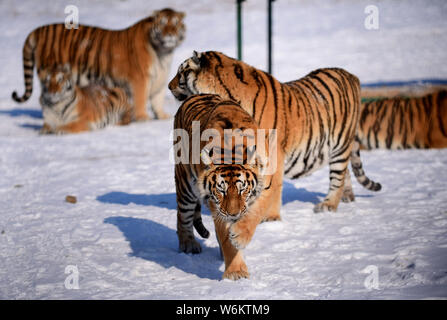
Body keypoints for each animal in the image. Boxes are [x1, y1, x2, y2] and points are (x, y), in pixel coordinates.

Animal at [11, 9, 186, 121]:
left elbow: (157, 99)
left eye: (175, 24)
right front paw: (143, 118)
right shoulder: (140, 78)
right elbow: (141, 98)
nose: (170, 34)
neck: (164, 53)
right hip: (50, 76)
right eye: (163, 24)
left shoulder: (160, 78)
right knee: (44, 98)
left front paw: (161, 116)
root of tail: (37, 30)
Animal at [169, 52, 382, 219]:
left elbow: (270, 190)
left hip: (341, 143)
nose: (169, 87)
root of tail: (351, 76)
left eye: (181, 72)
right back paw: (348, 197)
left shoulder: (272, 156)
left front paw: (269, 219)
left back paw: (328, 205)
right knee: (345, 172)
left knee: (338, 176)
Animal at [174, 94, 272, 278]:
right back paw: (189, 245)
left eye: (242, 189)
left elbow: (255, 213)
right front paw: (236, 272)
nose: (234, 215)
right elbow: (226, 238)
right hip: (185, 185)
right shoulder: (216, 205)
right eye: (221, 190)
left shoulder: (266, 187)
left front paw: (240, 236)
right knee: (183, 217)